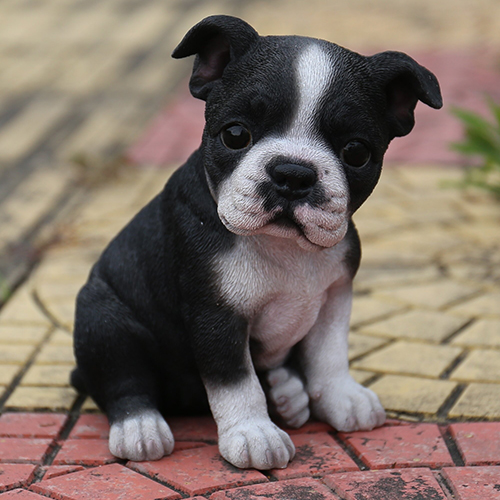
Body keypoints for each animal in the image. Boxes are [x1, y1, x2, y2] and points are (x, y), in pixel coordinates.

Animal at [73, 14, 442, 468]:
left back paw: (288, 394)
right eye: (235, 135)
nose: (293, 173)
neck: (283, 246)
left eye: (356, 152)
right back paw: (140, 428)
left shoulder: (334, 297)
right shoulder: (217, 316)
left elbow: (329, 354)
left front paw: (342, 397)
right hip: (102, 316)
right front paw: (252, 433)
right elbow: (236, 382)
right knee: (123, 378)